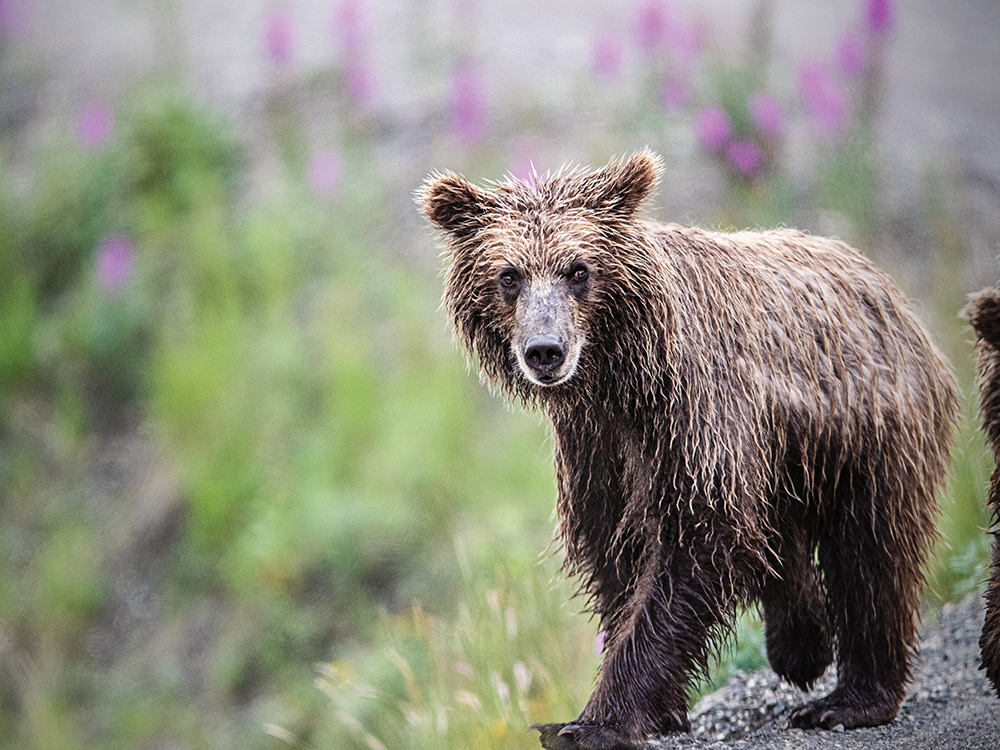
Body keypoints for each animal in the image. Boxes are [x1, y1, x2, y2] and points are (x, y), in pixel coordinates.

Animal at [420, 150, 960, 748]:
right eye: (509, 275)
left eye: (578, 270)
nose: (544, 350)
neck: (619, 377)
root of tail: (890, 290)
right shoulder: (597, 446)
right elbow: (616, 554)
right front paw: (658, 709)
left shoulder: (692, 417)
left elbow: (695, 543)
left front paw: (592, 722)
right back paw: (801, 644)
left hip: (869, 429)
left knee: (871, 552)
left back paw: (848, 699)